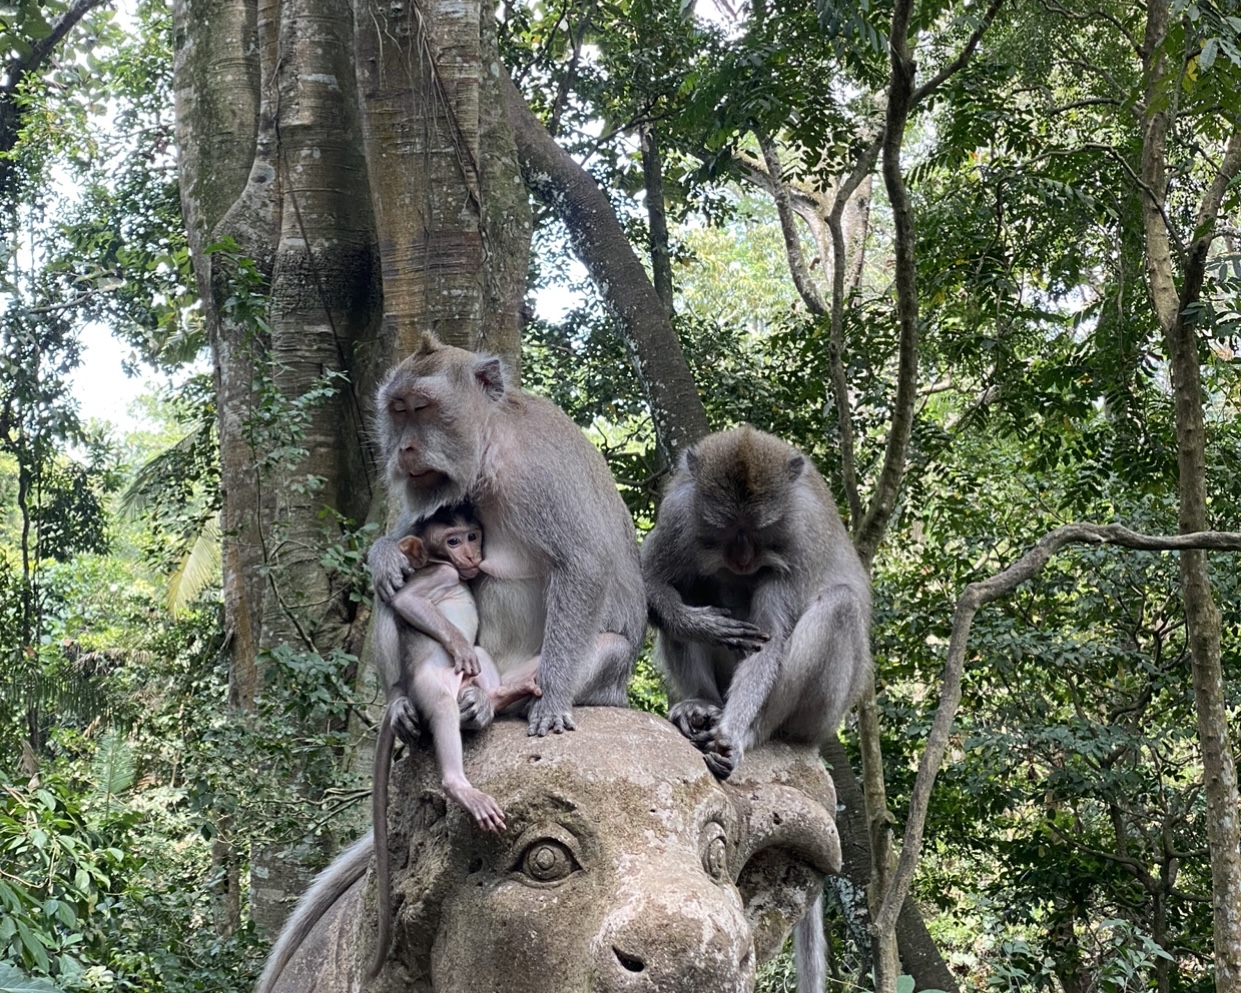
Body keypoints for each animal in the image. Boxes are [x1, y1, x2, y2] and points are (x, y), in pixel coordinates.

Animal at [367, 332, 646, 737]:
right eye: (398, 411)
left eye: (422, 407)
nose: (405, 448)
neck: (492, 446)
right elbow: (410, 541)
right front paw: (384, 554)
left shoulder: (538, 470)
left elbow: (584, 565)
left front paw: (553, 698)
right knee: (393, 590)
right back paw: (401, 698)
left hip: (587, 682)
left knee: (611, 647)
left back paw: (491, 704)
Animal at [640, 425, 872, 993]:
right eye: (727, 529)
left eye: (760, 531)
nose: (744, 557)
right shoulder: (680, 516)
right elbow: (652, 580)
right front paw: (698, 622)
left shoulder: (794, 545)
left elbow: (771, 642)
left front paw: (732, 736)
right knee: (688, 584)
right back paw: (696, 708)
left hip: (819, 713)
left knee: (837, 606)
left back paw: (751, 732)